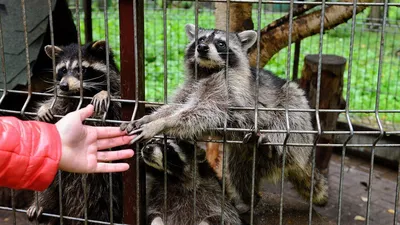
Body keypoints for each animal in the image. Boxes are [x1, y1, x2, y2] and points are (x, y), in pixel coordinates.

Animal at [26, 40, 122, 225]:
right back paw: (41, 203)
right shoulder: (63, 103)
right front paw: (44, 108)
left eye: (82, 69)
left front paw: (103, 93)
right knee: (49, 185)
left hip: (107, 188)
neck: (80, 95)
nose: (64, 85)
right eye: (63, 70)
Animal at [121, 24, 328, 214]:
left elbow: (203, 112)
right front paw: (151, 117)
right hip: (242, 153)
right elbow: (177, 106)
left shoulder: (227, 90)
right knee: (239, 173)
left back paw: (272, 147)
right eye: (200, 39)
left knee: (287, 124)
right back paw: (249, 201)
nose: (202, 48)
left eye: (220, 43)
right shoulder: (191, 86)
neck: (207, 69)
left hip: (298, 115)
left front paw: (161, 123)